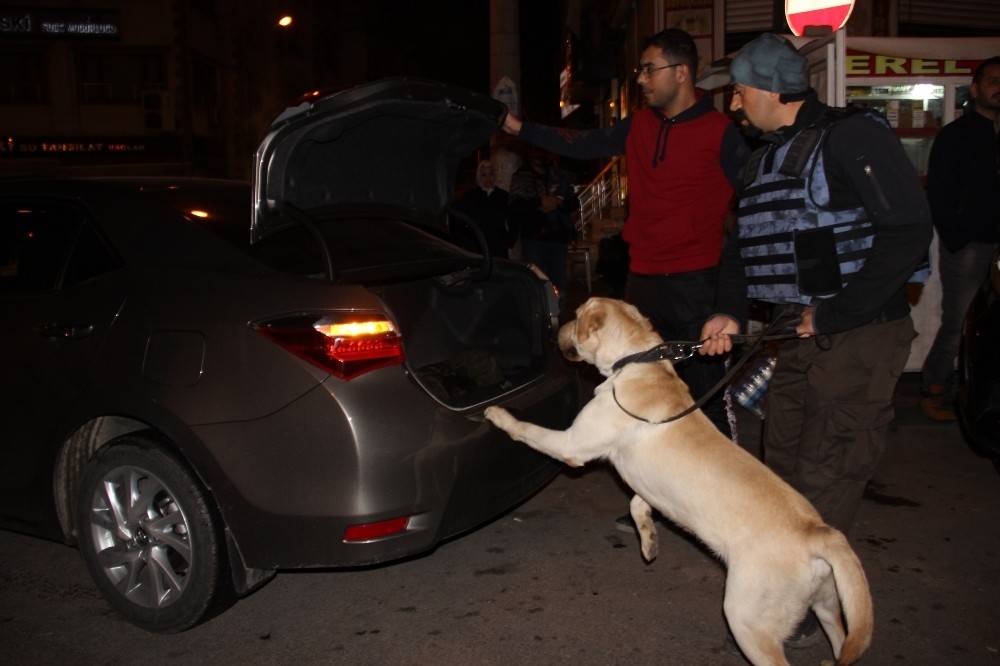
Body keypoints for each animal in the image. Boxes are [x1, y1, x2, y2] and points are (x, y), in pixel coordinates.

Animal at [488, 296, 872, 664]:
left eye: (578, 314)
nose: (556, 328)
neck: (636, 361)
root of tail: (820, 532)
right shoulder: (645, 481)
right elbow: (637, 504)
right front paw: (648, 540)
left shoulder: (573, 446)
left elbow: (529, 430)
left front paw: (499, 415)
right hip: (827, 604)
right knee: (840, 639)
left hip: (747, 618)